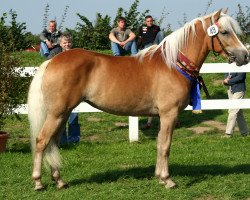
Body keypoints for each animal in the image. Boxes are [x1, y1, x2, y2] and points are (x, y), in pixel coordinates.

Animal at [28, 9, 248, 191]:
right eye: (225, 32)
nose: (244, 55)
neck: (172, 64)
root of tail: (52, 61)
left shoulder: (162, 117)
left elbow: (159, 144)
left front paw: (159, 177)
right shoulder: (169, 114)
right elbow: (166, 146)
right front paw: (167, 180)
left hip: (63, 113)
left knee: (53, 143)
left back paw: (59, 181)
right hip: (57, 113)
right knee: (42, 141)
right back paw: (38, 182)